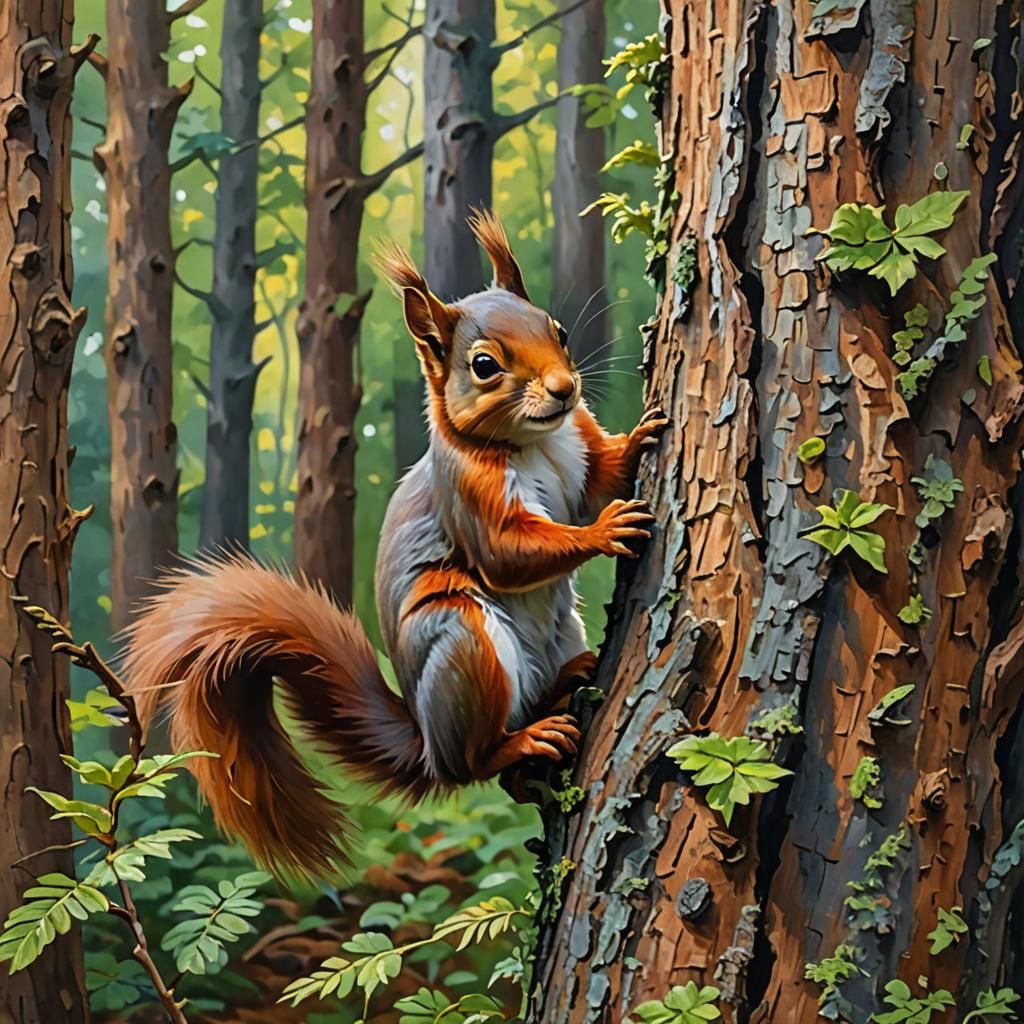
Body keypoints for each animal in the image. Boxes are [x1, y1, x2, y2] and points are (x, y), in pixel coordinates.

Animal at [121, 209, 668, 879]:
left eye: (558, 331)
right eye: (484, 365)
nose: (566, 388)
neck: (535, 442)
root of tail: (427, 744)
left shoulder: (578, 447)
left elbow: (600, 477)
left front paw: (640, 436)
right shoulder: (467, 495)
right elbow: (509, 554)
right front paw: (603, 531)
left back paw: (570, 677)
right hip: (463, 647)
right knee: (476, 764)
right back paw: (521, 738)